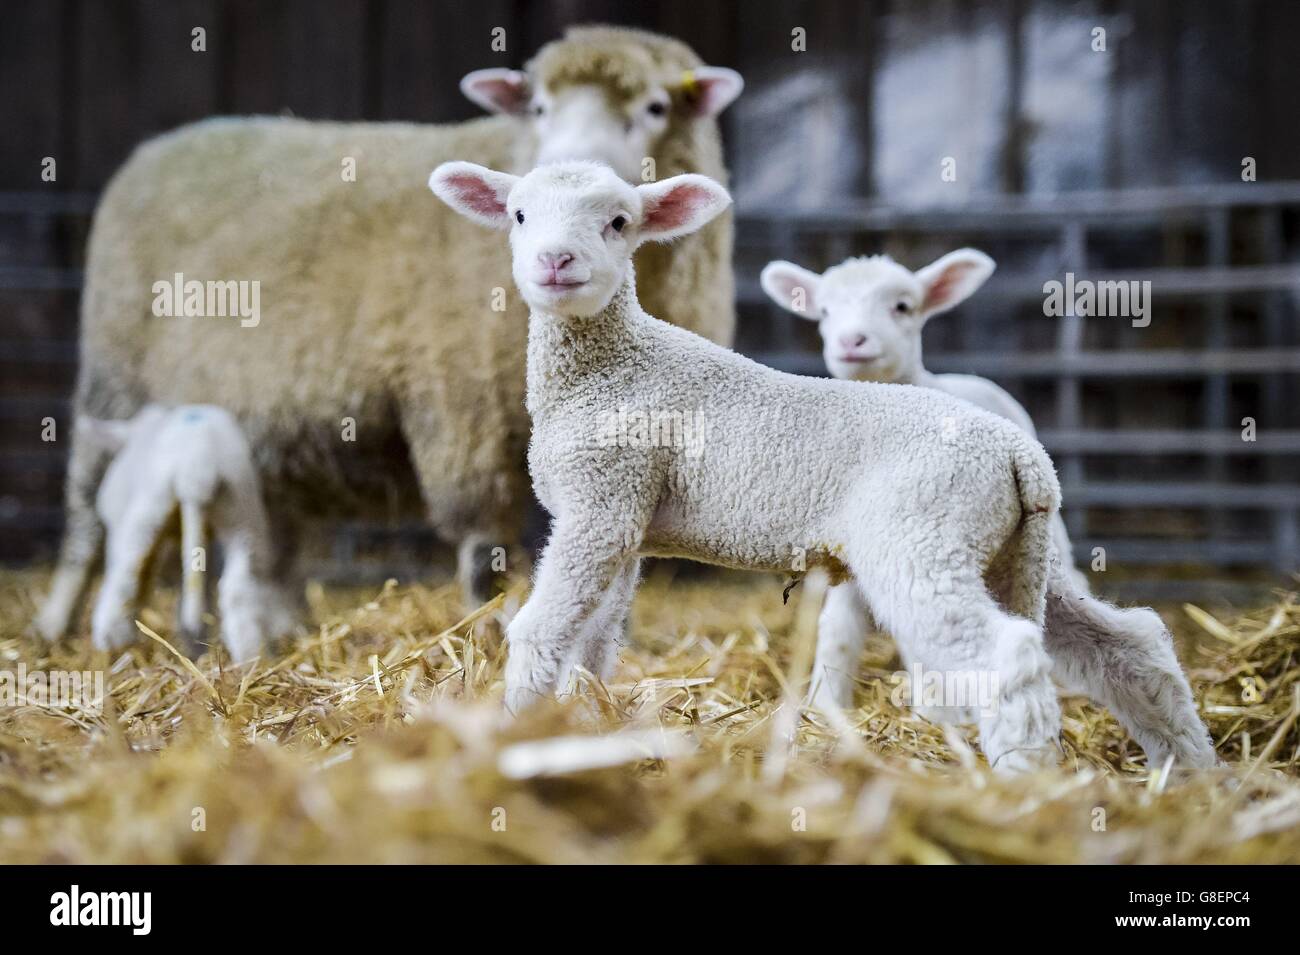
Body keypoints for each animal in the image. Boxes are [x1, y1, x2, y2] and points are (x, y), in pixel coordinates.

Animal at [83, 405, 292, 665]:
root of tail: (198, 465)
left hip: (148, 513)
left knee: (124, 580)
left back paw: (111, 644)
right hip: (241, 513)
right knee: (237, 590)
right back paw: (250, 657)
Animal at [759, 252, 1216, 769]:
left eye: (903, 306)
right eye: (823, 312)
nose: (851, 341)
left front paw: (936, 713)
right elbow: (838, 629)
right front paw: (824, 706)